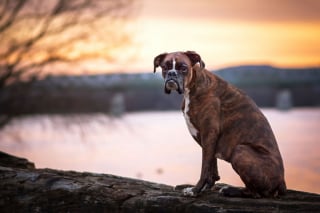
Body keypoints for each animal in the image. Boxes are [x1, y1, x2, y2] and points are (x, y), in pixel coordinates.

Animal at [154, 50, 286, 197]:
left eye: (183, 68)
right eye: (165, 67)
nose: (172, 74)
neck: (193, 86)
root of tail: (282, 182)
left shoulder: (209, 133)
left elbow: (205, 167)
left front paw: (195, 190)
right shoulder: (208, 139)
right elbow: (212, 166)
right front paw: (205, 187)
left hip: (240, 150)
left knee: (256, 193)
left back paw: (231, 190)